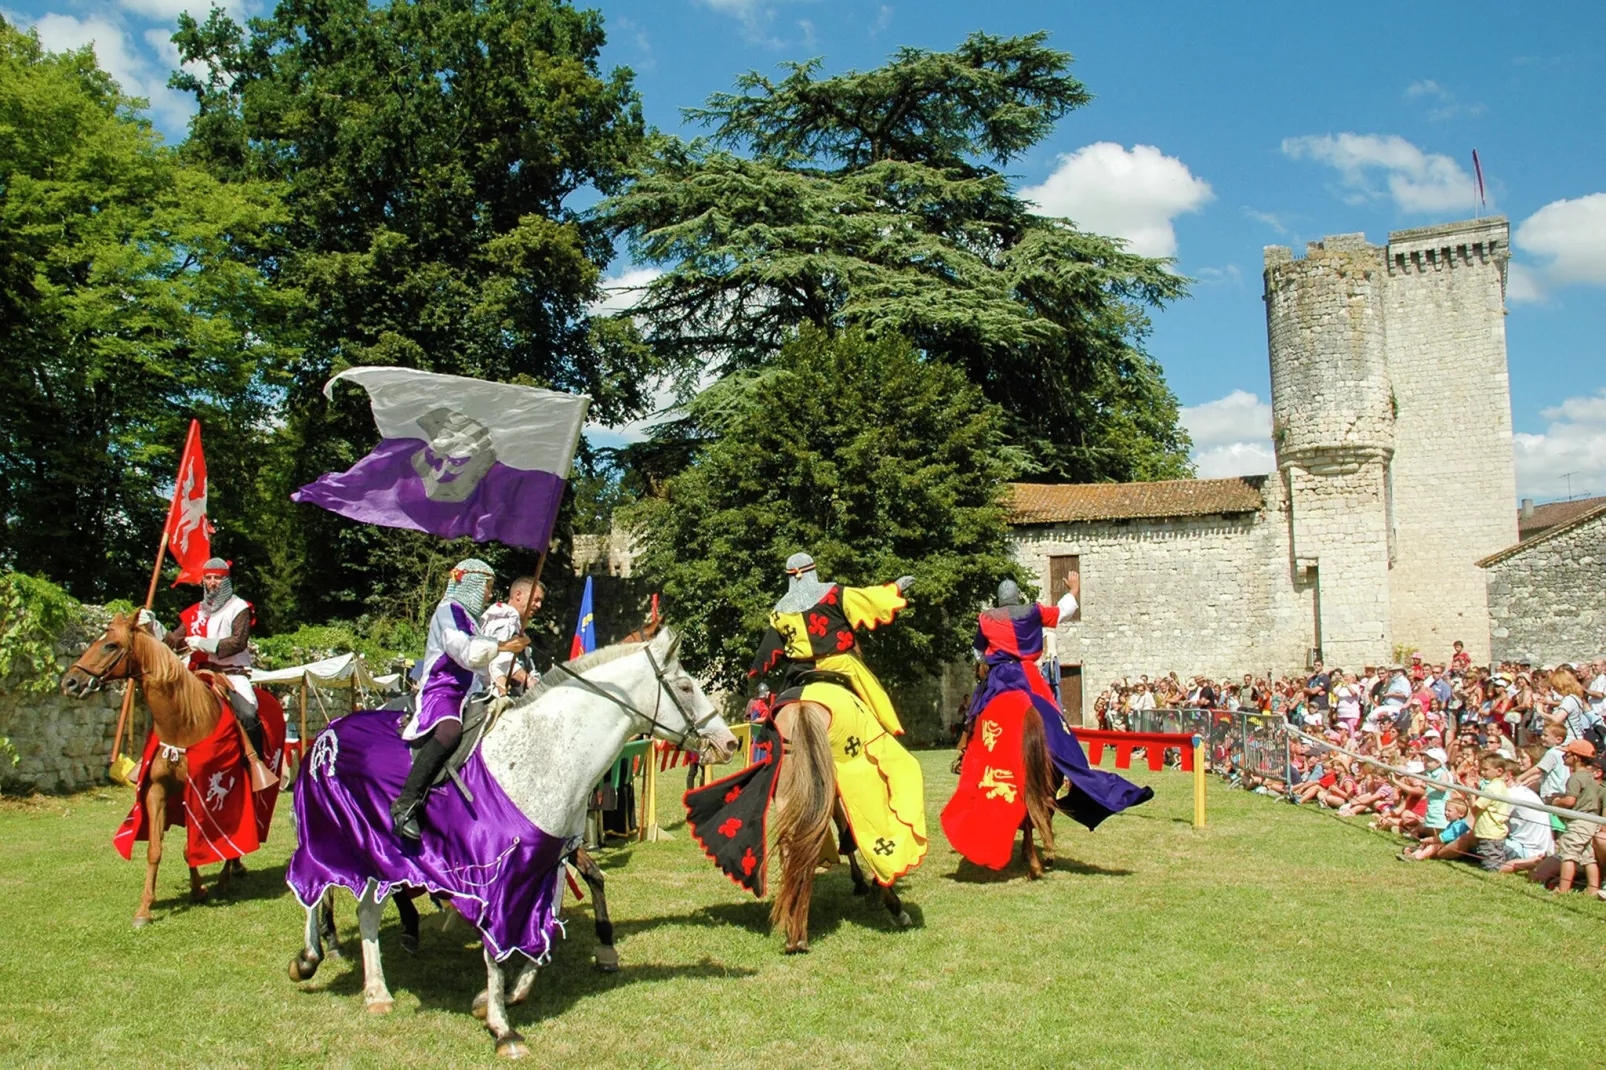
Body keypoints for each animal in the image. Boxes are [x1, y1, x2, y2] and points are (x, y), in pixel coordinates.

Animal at [58, 616, 285, 925]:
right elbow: (155, 849)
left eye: (111, 645)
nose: (70, 682)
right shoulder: (158, 790)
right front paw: (145, 908)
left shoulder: (202, 793)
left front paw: (199, 889)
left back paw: (225, 878)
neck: (185, 720)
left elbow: (193, 846)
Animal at [292, 629, 735, 1053]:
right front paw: (503, 1028)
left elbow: (544, 933)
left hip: (377, 853)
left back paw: (375, 989)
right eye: (685, 686)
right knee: (316, 888)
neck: (545, 754)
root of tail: (326, 733)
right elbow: (496, 947)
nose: (728, 743)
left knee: (364, 910)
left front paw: (505, 997)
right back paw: (313, 956)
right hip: (335, 836)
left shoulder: (547, 864)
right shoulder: (498, 873)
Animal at [767, 700, 912, 951]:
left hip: (789, 797)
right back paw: (894, 905)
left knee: (789, 845)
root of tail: (803, 709)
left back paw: (794, 932)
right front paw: (868, 886)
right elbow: (846, 829)